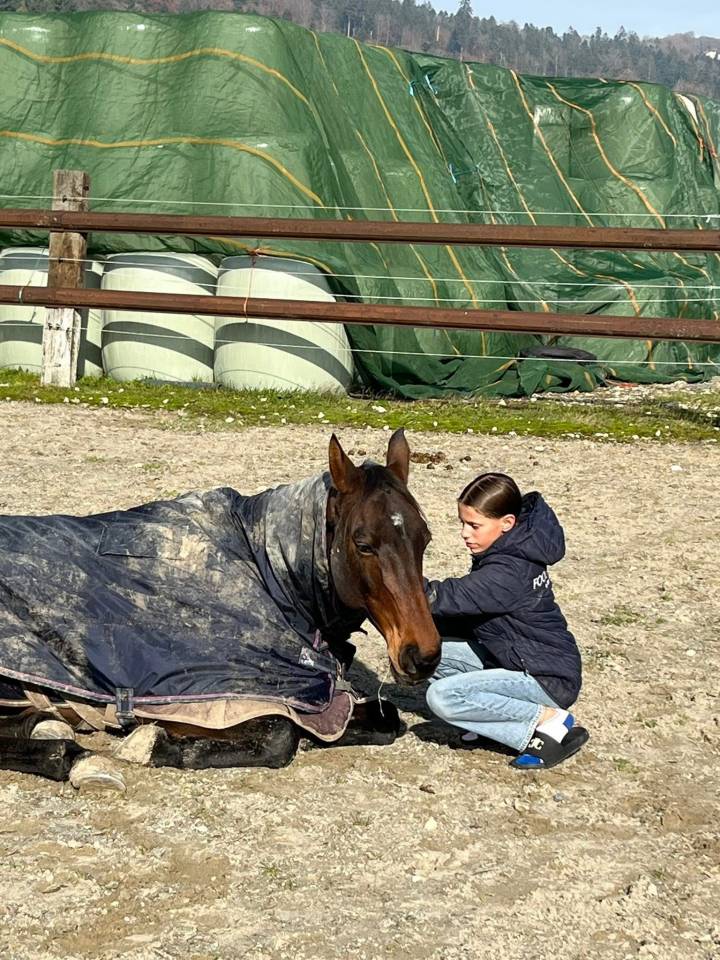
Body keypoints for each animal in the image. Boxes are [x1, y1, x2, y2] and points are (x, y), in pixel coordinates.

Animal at [0, 429, 440, 783]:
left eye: (425, 537)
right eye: (363, 544)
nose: (423, 656)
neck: (267, 571)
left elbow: (384, 717)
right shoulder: (205, 701)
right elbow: (280, 737)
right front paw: (148, 744)